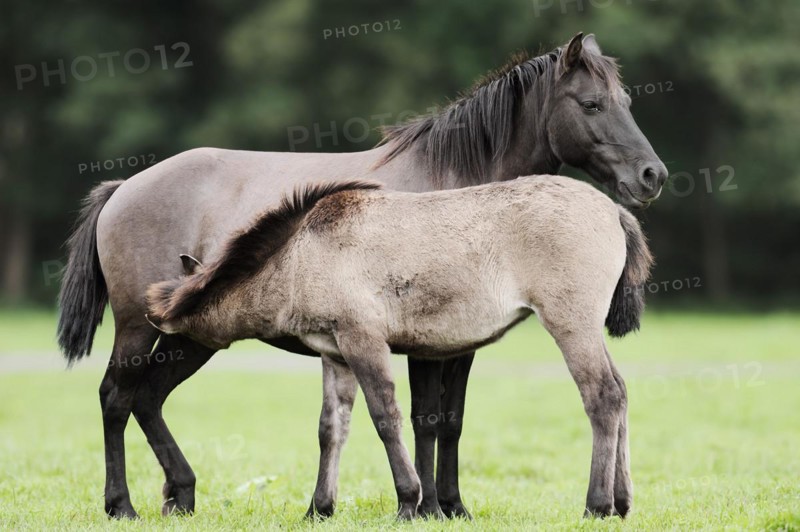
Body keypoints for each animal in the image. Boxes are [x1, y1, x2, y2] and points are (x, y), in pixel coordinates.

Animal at [145, 175, 653, 519]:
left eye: (171, 337)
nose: (146, 364)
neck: (302, 254)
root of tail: (614, 210)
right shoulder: (335, 353)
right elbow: (332, 428)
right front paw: (318, 508)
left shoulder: (363, 340)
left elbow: (385, 418)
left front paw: (409, 502)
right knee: (623, 392)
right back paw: (623, 501)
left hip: (571, 323)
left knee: (602, 395)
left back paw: (596, 505)